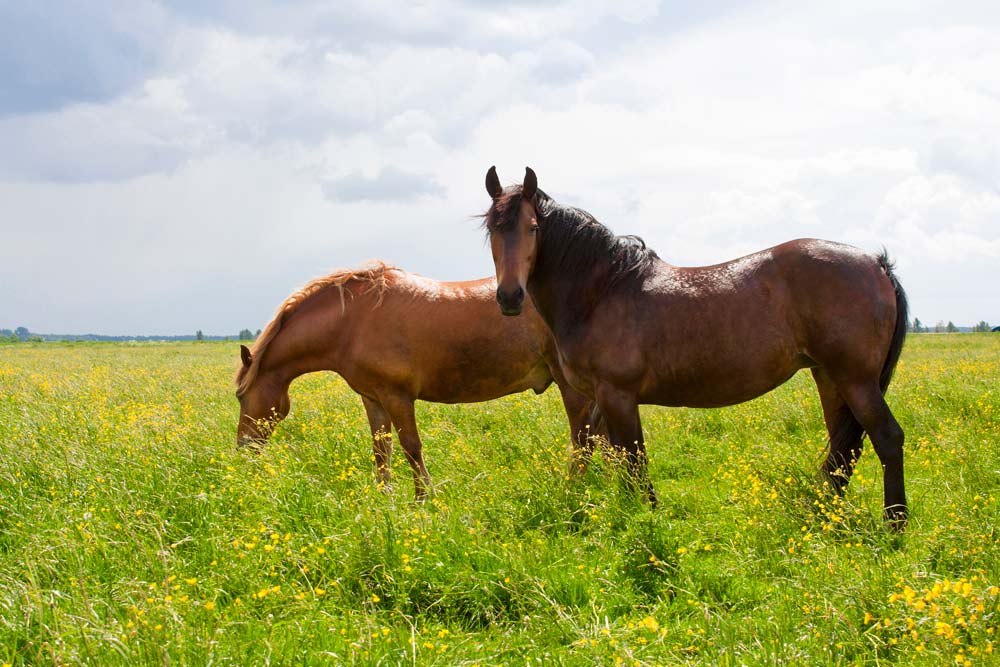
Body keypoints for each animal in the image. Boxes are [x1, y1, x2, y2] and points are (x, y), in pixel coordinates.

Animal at [233, 264, 592, 498]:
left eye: (240, 396)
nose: (243, 448)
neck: (351, 323)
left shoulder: (397, 396)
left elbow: (411, 447)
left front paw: (423, 499)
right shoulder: (373, 398)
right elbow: (382, 449)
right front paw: (385, 499)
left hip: (570, 385)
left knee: (581, 438)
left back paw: (575, 487)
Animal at [480, 166, 912, 528]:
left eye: (532, 228)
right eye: (492, 231)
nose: (510, 297)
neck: (602, 291)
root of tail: (876, 263)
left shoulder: (618, 394)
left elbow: (634, 460)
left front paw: (646, 520)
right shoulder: (604, 399)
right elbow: (614, 457)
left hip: (855, 378)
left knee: (886, 438)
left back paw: (894, 524)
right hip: (830, 377)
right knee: (844, 447)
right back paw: (822, 514)